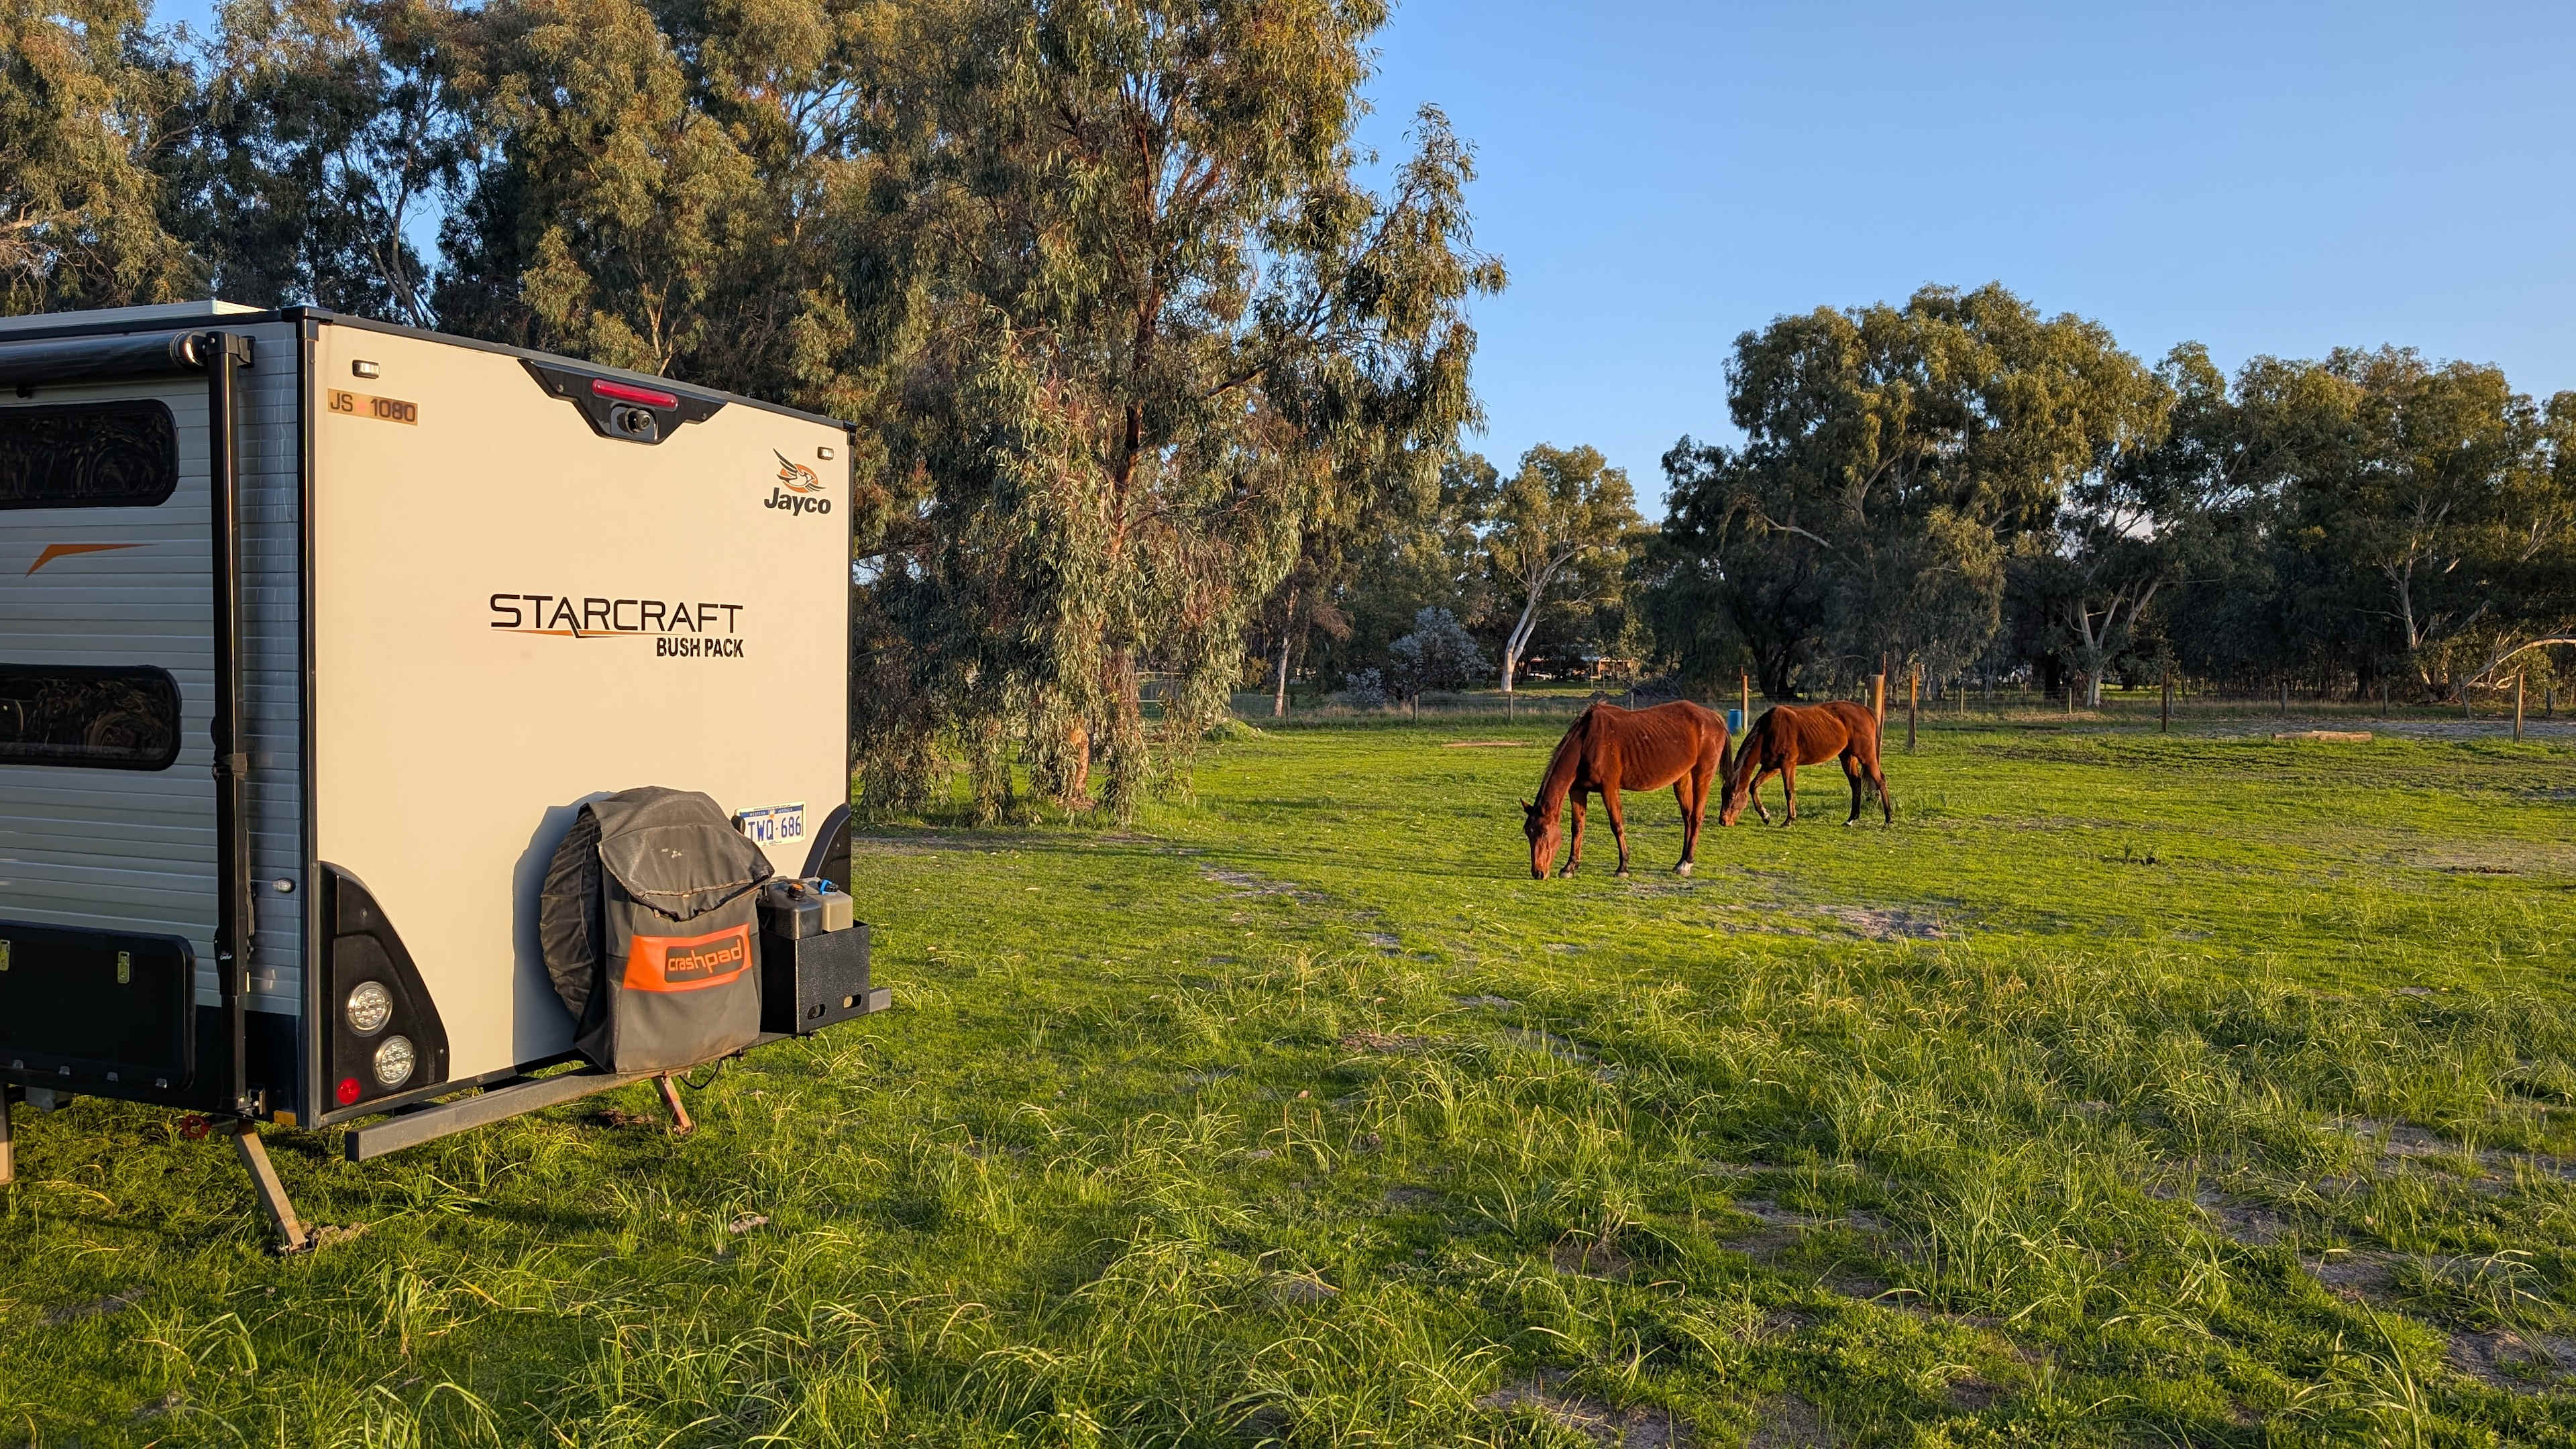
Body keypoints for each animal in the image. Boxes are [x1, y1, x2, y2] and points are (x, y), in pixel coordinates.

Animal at [1521, 700, 1731, 879]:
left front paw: (1623, 867)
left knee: (1697, 816)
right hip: (1682, 778)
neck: (1587, 741)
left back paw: (1687, 862)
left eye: (1544, 832)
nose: (1538, 872)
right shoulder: (1578, 790)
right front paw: (1570, 867)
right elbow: (1577, 827)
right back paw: (1681, 861)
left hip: (1702, 776)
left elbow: (1617, 825)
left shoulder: (1609, 788)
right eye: (1528, 832)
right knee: (1687, 818)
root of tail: (1714, 717)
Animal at [1719, 701, 1894, 828]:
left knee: (1880, 780)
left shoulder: (1787, 764)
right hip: (1847, 757)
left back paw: (1888, 819)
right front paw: (1766, 816)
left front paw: (1789, 820)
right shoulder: (1772, 767)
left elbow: (1789, 791)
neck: (1769, 730)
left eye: (1732, 797)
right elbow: (1753, 786)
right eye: (1723, 794)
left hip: (1866, 756)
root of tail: (1865, 710)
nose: (1723, 821)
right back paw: (1851, 819)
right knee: (1856, 783)